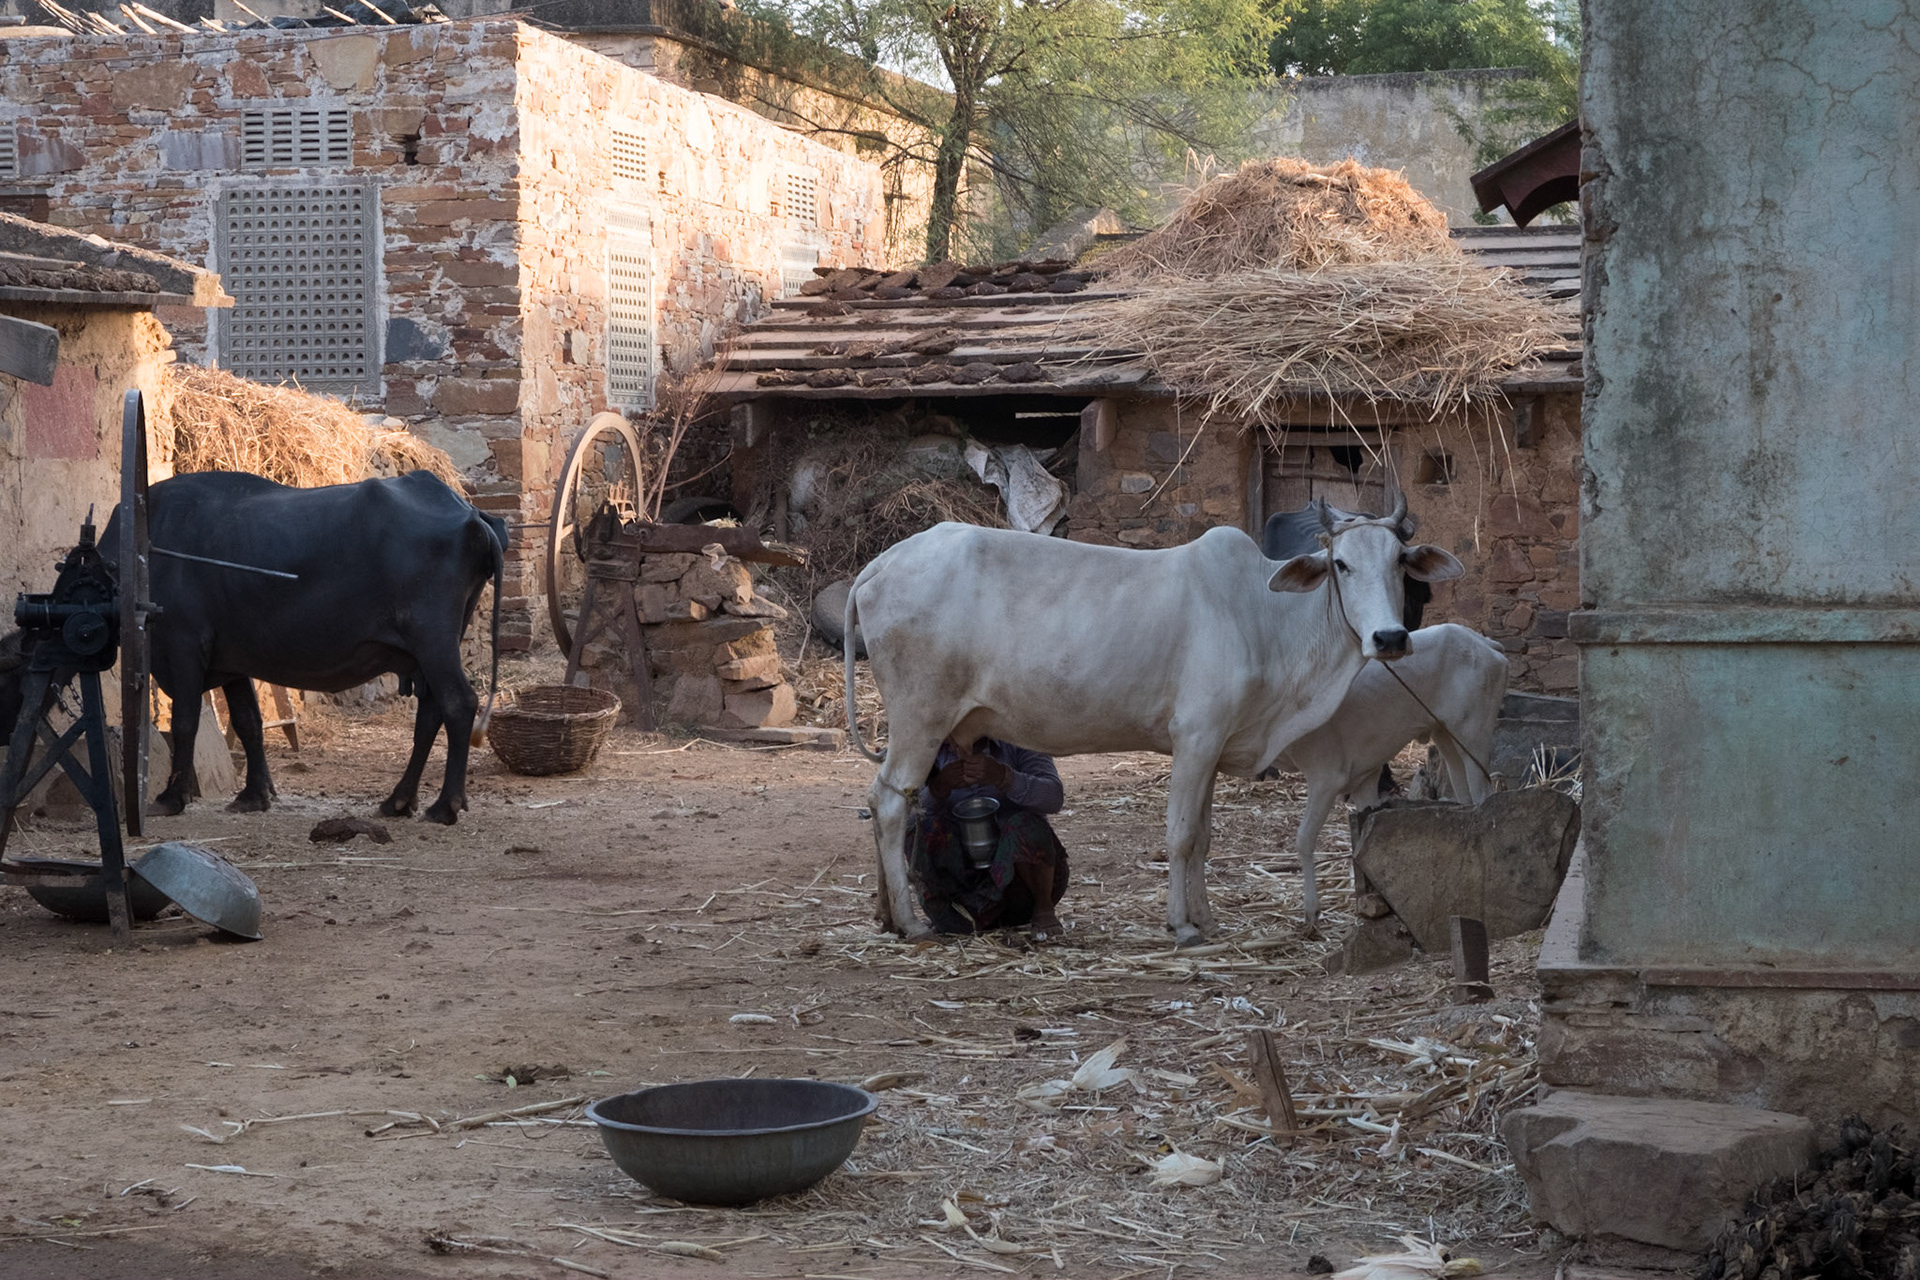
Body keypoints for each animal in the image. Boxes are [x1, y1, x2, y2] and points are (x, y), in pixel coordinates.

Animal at [68, 469, 506, 825]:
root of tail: (471, 515)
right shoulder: (232, 662)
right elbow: (248, 721)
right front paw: (254, 794)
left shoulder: (182, 646)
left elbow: (185, 722)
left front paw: (172, 796)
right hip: (429, 651)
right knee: (430, 713)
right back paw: (398, 800)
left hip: (433, 641)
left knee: (458, 703)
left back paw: (445, 805)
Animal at [842, 497, 1464, 945]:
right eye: (1341, 563)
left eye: (1400, 563)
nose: (1390, 637)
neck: (1265, 616)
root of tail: (879, 564)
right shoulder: (1196, 737)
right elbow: (1181, 834)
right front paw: (1182, 926)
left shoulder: (1214, 746)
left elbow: (1205, 837)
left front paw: (1208, 919)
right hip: (920, 718)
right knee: (890, 801)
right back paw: (912, 922)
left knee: (885, 802)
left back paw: (886, 917)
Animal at [1280, 622, 1507, 931]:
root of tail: (1486, 645)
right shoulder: (1364, 778)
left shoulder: (1326, 778)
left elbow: (1304, 839)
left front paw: (1311, 914)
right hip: (1446, 735)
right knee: (1465, 796)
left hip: (1473, 733)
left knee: (1484, 795)